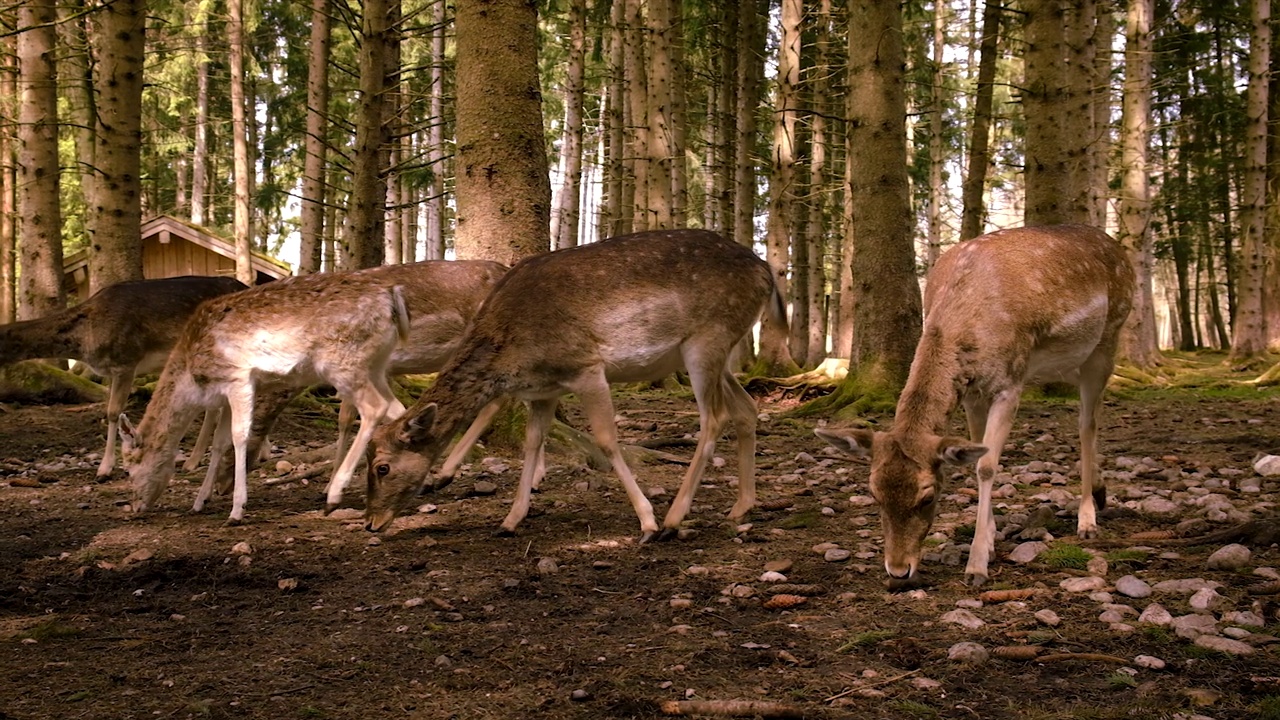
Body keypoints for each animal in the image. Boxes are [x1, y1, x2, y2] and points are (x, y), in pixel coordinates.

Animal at [122, 270, 407, 520]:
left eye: (130, 467)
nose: (135, 507)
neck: (193, 380)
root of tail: (393, 300)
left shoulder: (238, 378)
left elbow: (239, 437)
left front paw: (237, 510)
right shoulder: (226, 394)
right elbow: (219, 442)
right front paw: (200, 501)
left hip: (343, 363)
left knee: (374, 407)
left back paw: (335, 494)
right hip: (377, 365)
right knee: (398, 409)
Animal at [202, 258, 506, 504]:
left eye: (231, 449)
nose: (220, 488)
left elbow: (360, 416)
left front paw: (334, 486)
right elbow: (353, 419)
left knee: (495, 399)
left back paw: (446, 473)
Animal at [360, 226, 788, 535]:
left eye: (382, 467)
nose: (370, 523)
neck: (510, 347)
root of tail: (767, 274)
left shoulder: (586, 366)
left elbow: (607, 439)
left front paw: (647, 521)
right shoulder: (543, 391)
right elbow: (533, 442)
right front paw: (511, 519)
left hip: (708, 339)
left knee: (714, 418)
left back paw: (673, 519)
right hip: (719, 353)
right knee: (746, 409)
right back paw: (741, 506)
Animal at [814, 224, 1136, 584]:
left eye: (928, 496)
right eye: (874, 493)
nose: (898, 570)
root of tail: (1119, 249)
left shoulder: (1010, 383)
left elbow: (987, 466)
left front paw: (977, 564)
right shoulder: (972, 393)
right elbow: (975, 455)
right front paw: (991, 539)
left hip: (1108, 338)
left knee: (1087, 423)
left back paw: (1087, 520)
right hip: (1069, 362)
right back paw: (1100, 492)